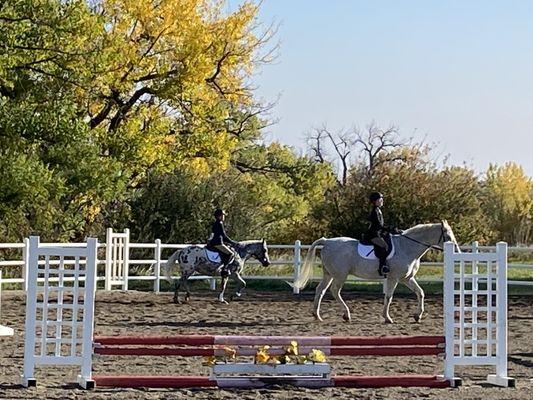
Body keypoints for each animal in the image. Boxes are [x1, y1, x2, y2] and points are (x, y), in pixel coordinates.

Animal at [290, 222, 458, 324]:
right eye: (448, 236)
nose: (457, 251)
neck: (407, 247)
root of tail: (327, 241)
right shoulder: (394, 278)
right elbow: (389, 297)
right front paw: (387, 318)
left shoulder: (407, 278)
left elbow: (420, 293)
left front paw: (417, 316)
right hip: (340, 275)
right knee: (335, 291)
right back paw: (346, 315)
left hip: (329, 274)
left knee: (321, 290)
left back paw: (317, 315)